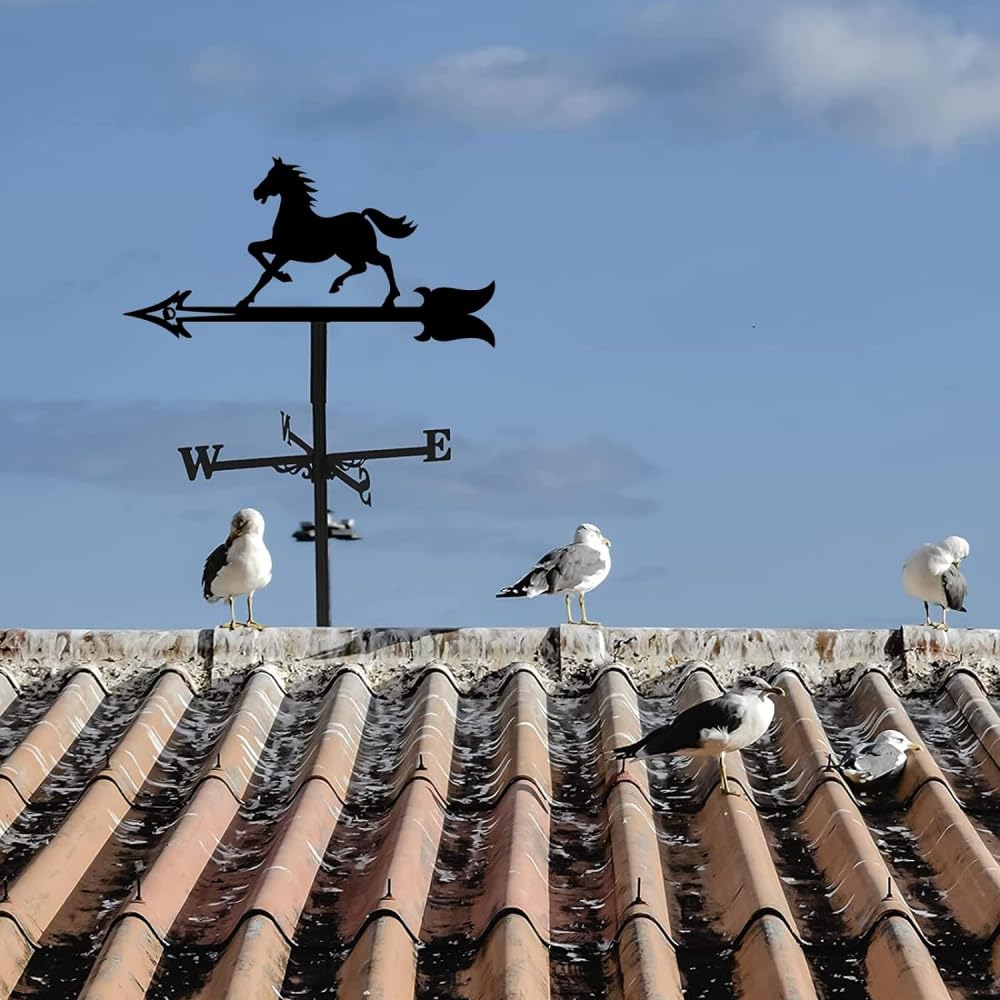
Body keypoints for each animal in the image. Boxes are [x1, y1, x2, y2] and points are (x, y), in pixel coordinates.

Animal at [238, 157, 417, 309]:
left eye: (273, 175)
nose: (256, 193)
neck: (296, 216)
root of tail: (362, 216)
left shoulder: (284, 251)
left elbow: (266, 274)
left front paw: (246, 300)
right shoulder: (277, 246)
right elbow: (253, 248)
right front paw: (283, 276)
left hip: (361, 250)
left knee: (384, 260)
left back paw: (390, 298)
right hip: (348, 253)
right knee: (361, 266)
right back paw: (336, 285)